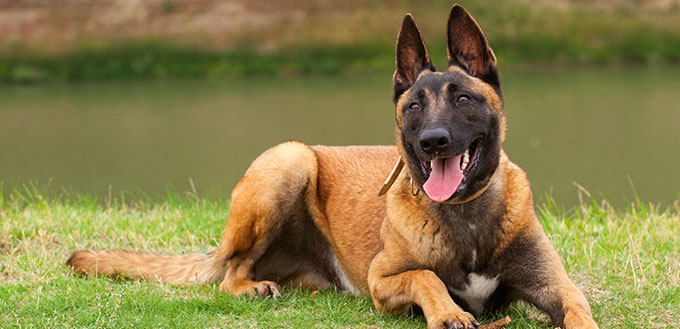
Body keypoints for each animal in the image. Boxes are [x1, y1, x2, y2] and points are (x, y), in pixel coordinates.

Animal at [67, 5, 600, 328]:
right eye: (414, 107)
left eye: (464, 99)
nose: (433, 142)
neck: (465, 219)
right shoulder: (383, 282)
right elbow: (426, 277)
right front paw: (449, 312)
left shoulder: (556, 286)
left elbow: (578, 309)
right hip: (291, 158)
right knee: (229, 271)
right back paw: (250, 287)